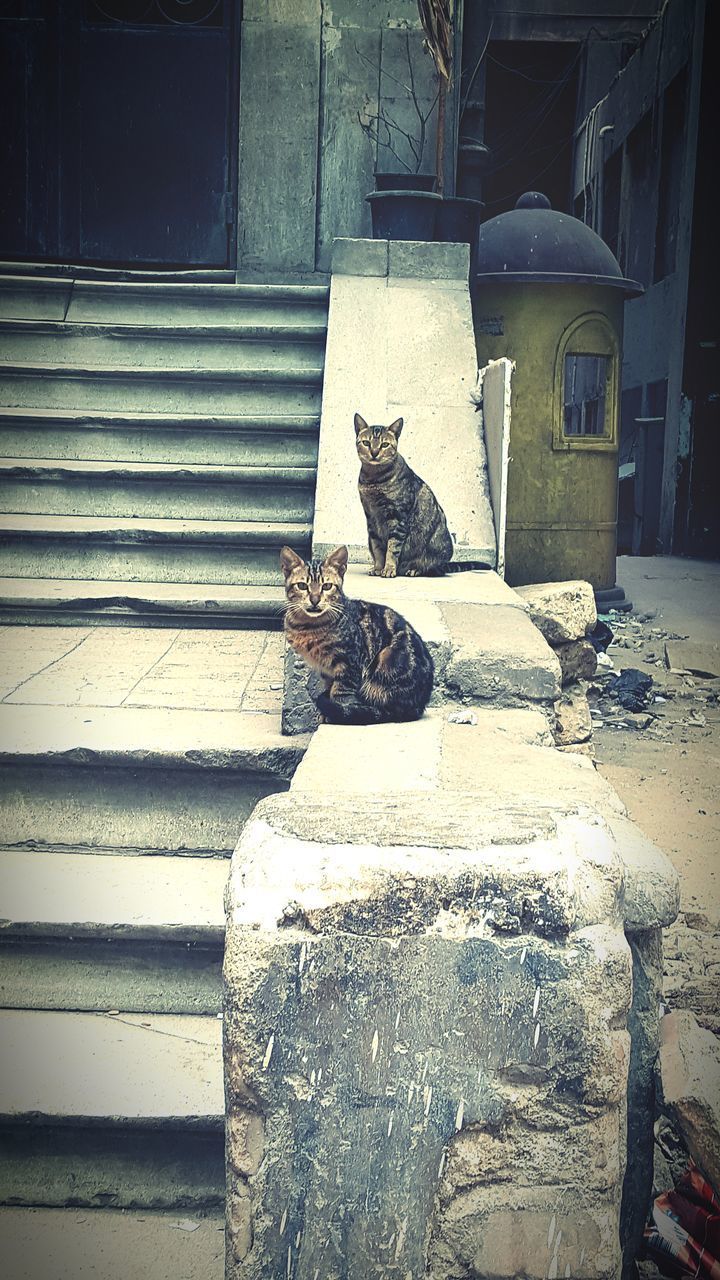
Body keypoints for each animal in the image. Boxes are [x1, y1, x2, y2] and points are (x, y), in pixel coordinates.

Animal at [280, 540, 427, 721]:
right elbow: (329, 688)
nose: (315, 600)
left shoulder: (349, 663)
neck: (308, 626)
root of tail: (418, 706)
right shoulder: (326, 670)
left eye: (327, 586)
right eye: (302, 586)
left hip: (386, 659)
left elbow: (340, 693)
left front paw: (337, 713)